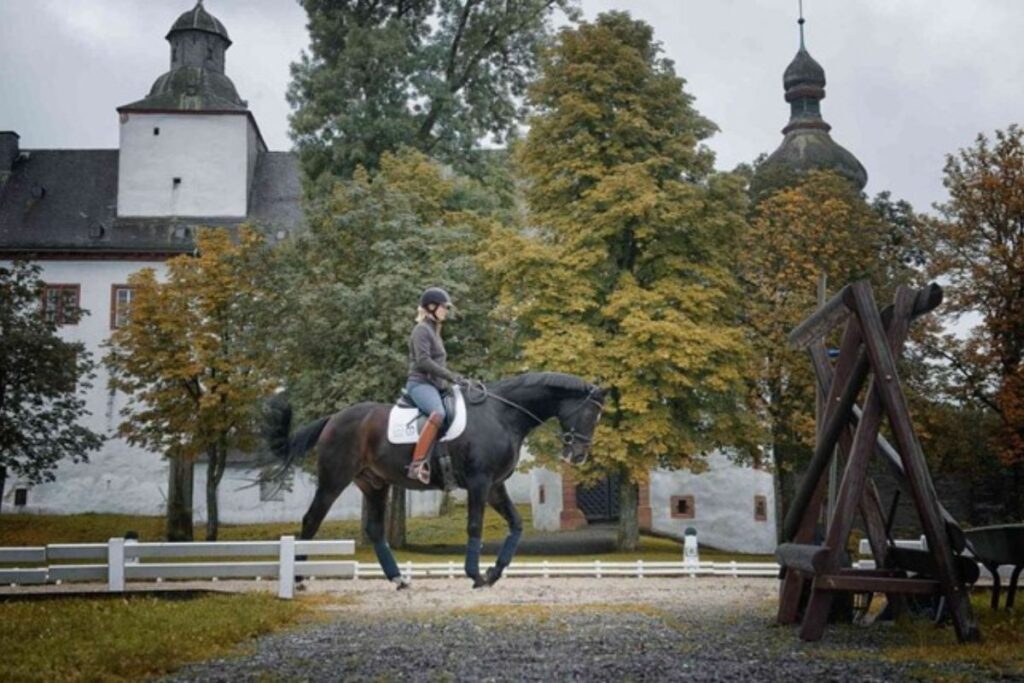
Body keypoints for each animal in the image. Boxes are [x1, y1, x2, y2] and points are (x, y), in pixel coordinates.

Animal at [260, 370, 606, 589]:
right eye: (590, 414)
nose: (578, 456)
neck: (501, 415)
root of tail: (334, 418)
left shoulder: (495, 486)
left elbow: (517, 524)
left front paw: (494, 572)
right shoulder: (480, 483)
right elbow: (475, 527)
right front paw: (476, 576)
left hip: (374, 484)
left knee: (374, 530)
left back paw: (398, 579)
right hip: (334, 479)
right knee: (311, 520)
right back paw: (298, 578)